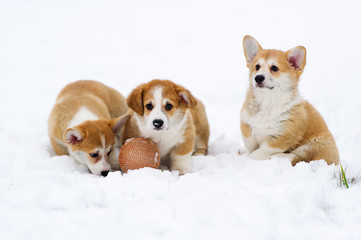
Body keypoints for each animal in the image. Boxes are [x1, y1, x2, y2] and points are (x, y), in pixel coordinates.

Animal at [239, 35, 338, 166]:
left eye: (274, 68)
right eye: (257, 67)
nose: (258, 78)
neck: (268, 101)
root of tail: (337, 159)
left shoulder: (281, 137)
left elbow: (263, 149)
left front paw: (251, 158)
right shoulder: (247, 124)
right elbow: (250, 141)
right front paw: (246, 152)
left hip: (316, 145)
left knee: (296, 156)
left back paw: (276, 158)